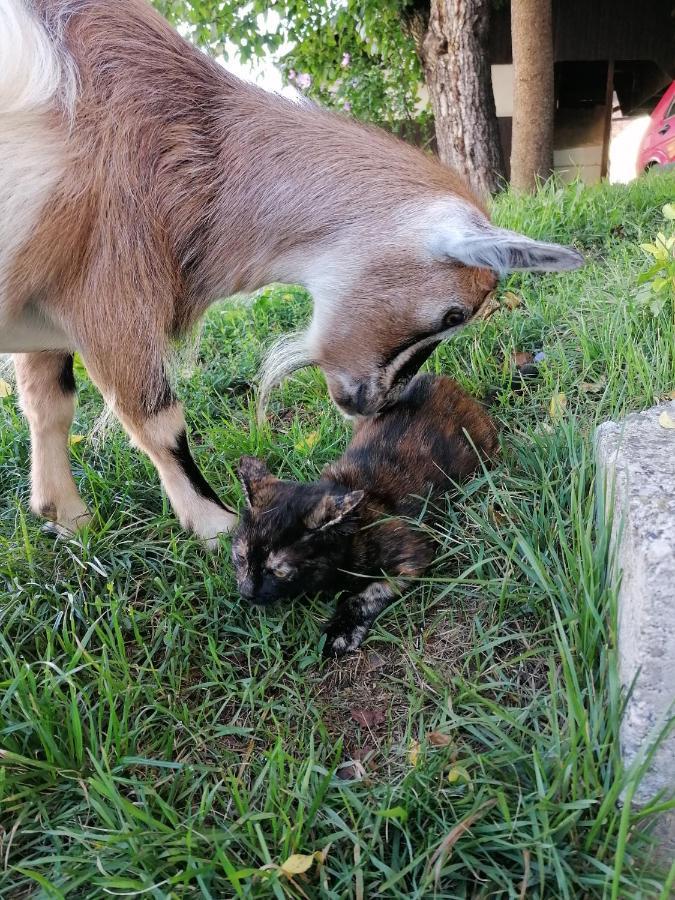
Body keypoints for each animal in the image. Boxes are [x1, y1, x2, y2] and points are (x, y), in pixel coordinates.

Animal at [0, 1, 580, 540]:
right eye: (453, 313)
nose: (377, 403)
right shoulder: (112, 294)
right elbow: (159, 420)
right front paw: (217, 527)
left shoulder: (52, 308)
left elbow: (49, 403)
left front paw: (68, 518)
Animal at [231, 376, 496, 656]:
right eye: (240, 557)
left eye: (279, 572)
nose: (246, 593)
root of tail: (440, 379)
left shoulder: (412, 554)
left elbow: (366, 595)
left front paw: (341, 631)